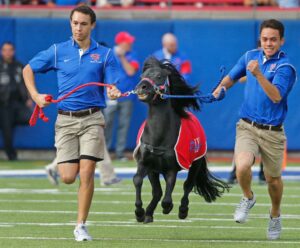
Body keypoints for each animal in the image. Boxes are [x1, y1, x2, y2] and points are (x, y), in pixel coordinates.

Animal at [132, 57, 229, 224]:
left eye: (159, 76)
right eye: (141, 76)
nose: (141, 87)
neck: (158, 137)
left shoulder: (171, 168)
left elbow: (169, 192)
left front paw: (168, 207)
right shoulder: (145, 163)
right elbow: (138, 180)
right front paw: (140, 212)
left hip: (196, 163)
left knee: (187, 185)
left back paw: (182, 210)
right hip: (155, 170)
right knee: (157, 192)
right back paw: (149, 214)